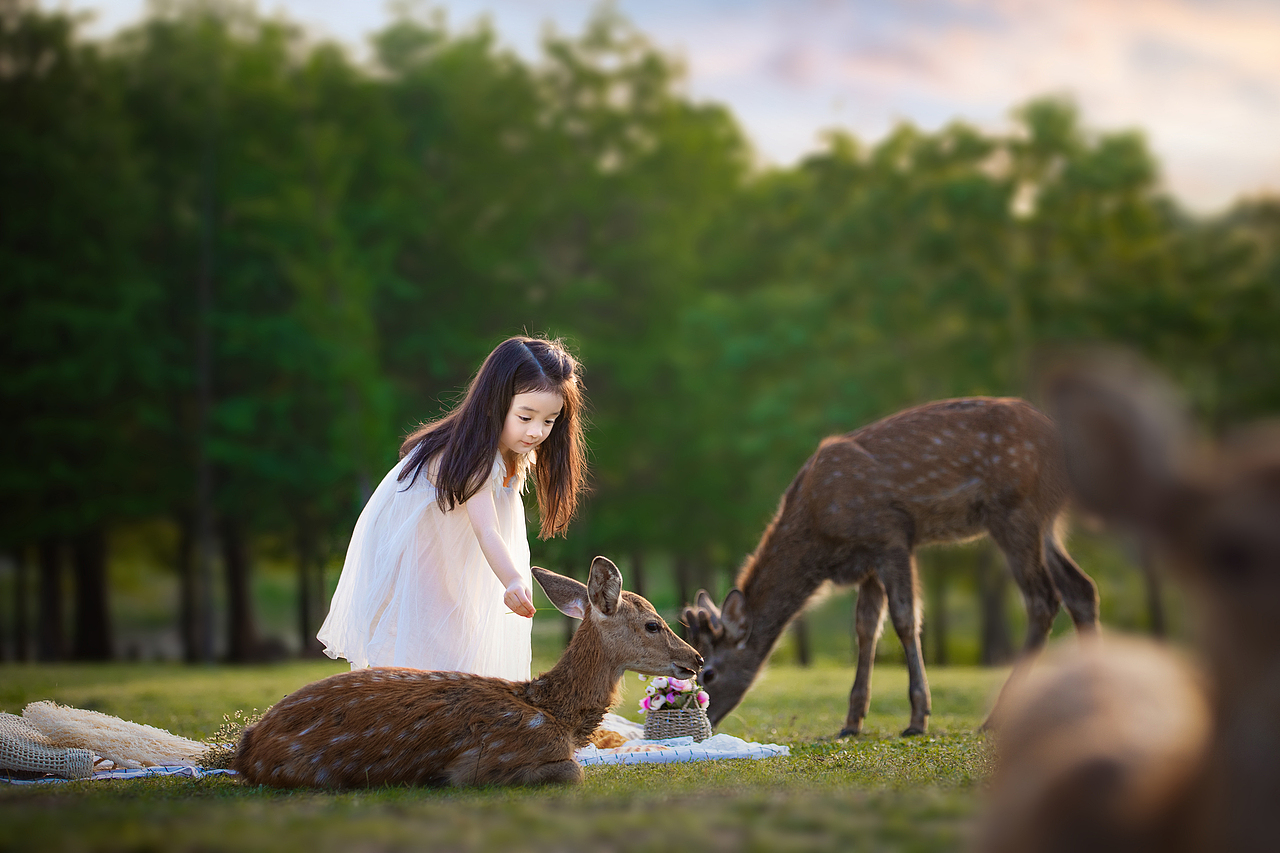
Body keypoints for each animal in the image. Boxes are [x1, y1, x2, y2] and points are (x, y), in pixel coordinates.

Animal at [232, 556, 702, 788]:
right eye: (653, 624)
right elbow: (575, 772)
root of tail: (247, 744)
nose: (696, 659)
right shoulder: (490, 759)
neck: (554, 716)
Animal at [683, 397, 1099, 737]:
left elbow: (904, 619)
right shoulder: (866, 561)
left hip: (1014, 509)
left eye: (709, 672)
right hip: (1045, 522)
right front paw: (851, 722)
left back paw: (995, 717)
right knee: (1081, 589)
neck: (818, 536)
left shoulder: (891, 536)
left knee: (1043, 599)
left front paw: (918, 719)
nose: (704, 722)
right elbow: (866, 629)